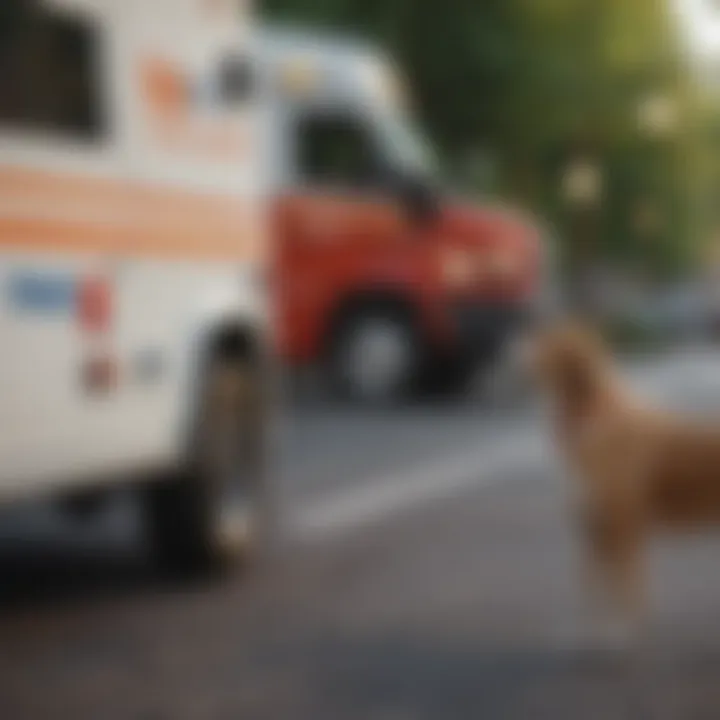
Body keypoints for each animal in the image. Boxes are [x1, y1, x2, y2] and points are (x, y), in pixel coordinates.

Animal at [524, 320, 720, 640]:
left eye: (548, 341)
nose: (510, 351)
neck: (593, 414)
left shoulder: (622, 525)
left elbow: (624, 589)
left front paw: (620, 632)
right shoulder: (596, 527)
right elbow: (595, 588)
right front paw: (589, 633)